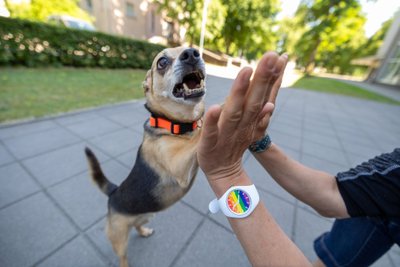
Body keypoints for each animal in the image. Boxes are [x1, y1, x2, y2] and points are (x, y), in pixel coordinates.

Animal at [86, 47, 208, 267]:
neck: (176, 126)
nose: (192, 53)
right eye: (162, 62)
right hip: (118, 238)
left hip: (145, 216)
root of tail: (113, 192)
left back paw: (144, 231)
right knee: (122, 256)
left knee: (137, 226)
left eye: (195, 51)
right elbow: (201, 133)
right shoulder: (180, 167)